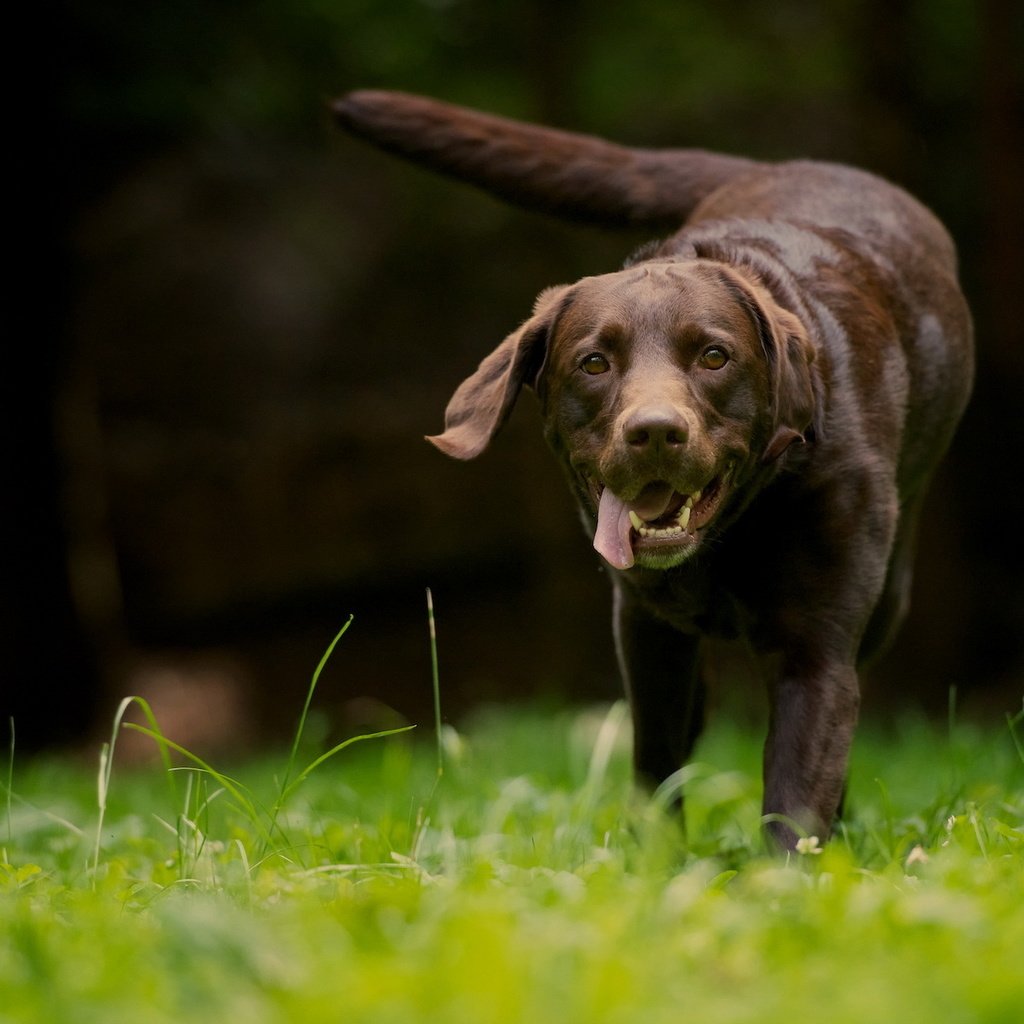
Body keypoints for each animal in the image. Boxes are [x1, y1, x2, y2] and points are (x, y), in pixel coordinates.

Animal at [331, 94, 970, 847]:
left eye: (715, 356)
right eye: (594, 362)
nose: (656, 432)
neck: (730, 533)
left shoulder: (816, 649)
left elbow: (797, 786)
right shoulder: (646, 632)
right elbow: (657, 766)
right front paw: (656, 858)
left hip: (889, 594)